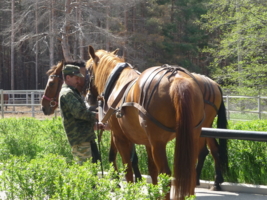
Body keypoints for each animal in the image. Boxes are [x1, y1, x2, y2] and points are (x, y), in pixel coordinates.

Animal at [87, 45, 206, 200]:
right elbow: (152, 169)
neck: (117, 84)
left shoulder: (120, 138)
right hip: (191, 138)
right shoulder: (148, 143)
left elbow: (128, 168)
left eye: (88, 69)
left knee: (166, 173)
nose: (88, 97)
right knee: (190, 172)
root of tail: (176, 79)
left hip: (158, 143)